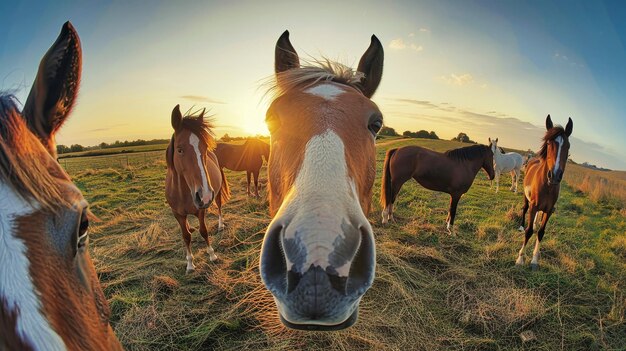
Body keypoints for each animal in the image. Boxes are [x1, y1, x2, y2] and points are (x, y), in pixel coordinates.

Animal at [163, 106, 229, 274]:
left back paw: (220, 225)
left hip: (216, 194)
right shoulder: (177, 213)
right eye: (179, 150)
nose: (204, 195)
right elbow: (185, 236)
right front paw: (190, 264)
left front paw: (212, 255)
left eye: (204, 148)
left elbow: (204, 231)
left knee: (219, 207)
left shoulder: (201, 210)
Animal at [512, 114, 572, 270]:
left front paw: (534, 260)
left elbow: (541, 232)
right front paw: (520, 259)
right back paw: (521, 225)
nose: (555, 175)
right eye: (549, 144)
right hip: (526, 199)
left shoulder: (549, 210)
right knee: (525, 209)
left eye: (568, 146)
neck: (547, 186)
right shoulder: (533, 206)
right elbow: (528, 232)